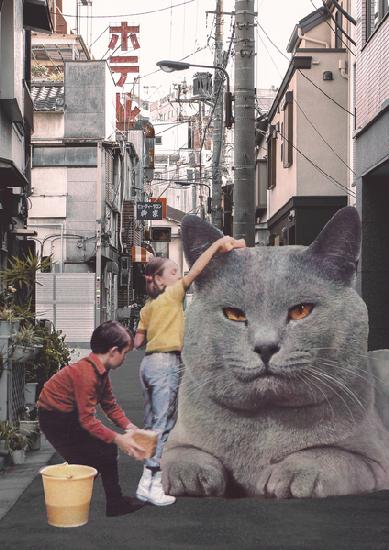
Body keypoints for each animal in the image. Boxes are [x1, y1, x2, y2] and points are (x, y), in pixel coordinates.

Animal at [161, 208, 389, 500]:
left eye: (301, 311)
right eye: (234, 315)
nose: (265, 346)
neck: (265, 425)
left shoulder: (375, 461)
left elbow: (329, 454)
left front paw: (290, 474)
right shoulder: (180, 438)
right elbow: (179, 454)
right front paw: (190, 475)